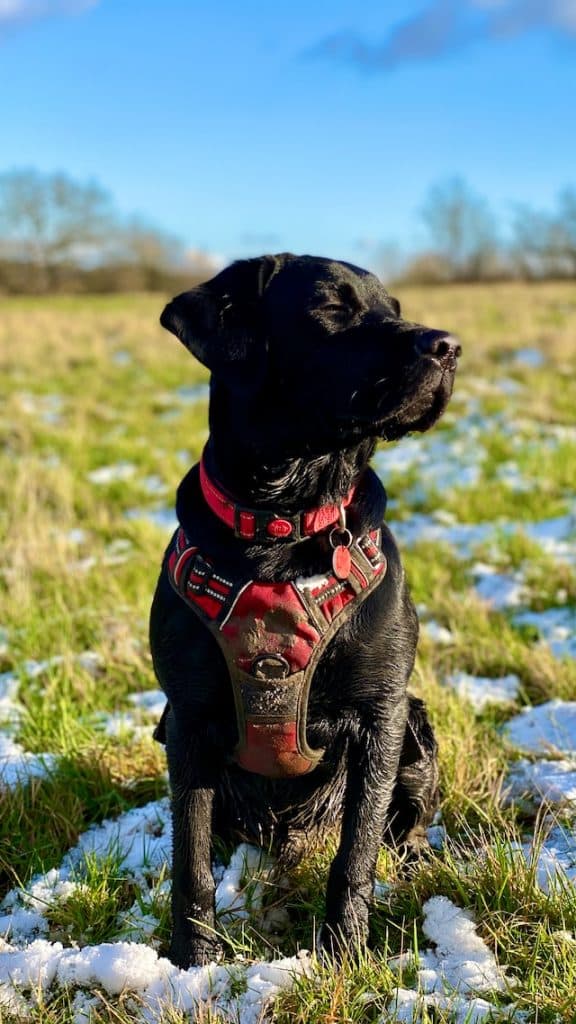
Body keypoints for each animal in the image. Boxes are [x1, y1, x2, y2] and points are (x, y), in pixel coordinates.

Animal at [150, 251, 459, 962]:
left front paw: (344, 956)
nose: (448, 346)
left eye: (395, 310)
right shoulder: (187, 718)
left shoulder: (379, 715)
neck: (281, 520)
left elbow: (356, 855)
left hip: (416, 728)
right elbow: (191, 860)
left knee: (401, 829)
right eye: (332, 307)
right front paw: (192, 962)